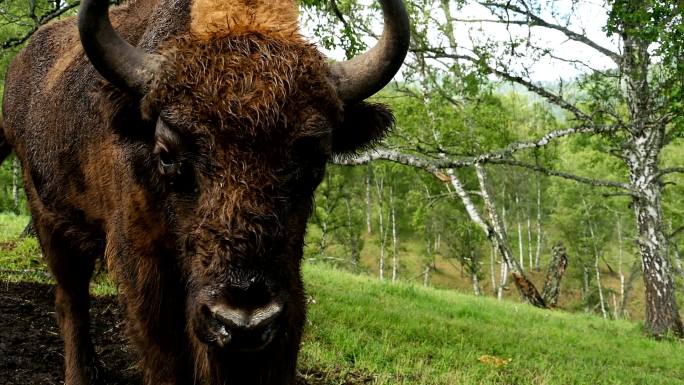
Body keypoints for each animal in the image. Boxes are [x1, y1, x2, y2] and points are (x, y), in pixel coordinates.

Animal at [0, 0, 406, 382]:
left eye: (317, 161)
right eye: (166, 155)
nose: (243, 321)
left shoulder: (287, 287)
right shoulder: (144, 264)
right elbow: (167, 355)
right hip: (50, 220)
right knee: (71, 299)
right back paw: (82, 374)